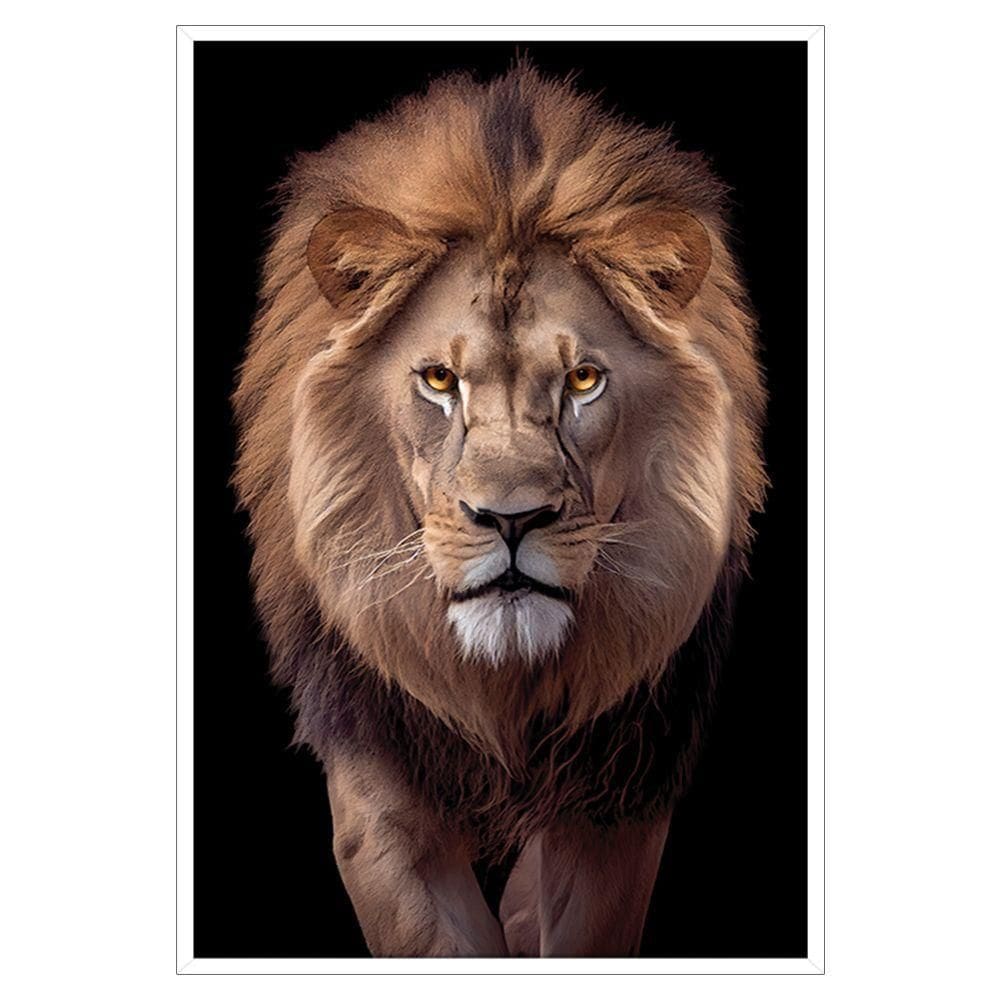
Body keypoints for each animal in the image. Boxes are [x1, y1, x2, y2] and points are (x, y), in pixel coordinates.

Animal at [232, 63, 766, 957]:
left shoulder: (617, 801)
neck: (503, 692)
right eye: (439, 381)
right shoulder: (381, 799)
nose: (512, 521)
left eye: (583, 379)